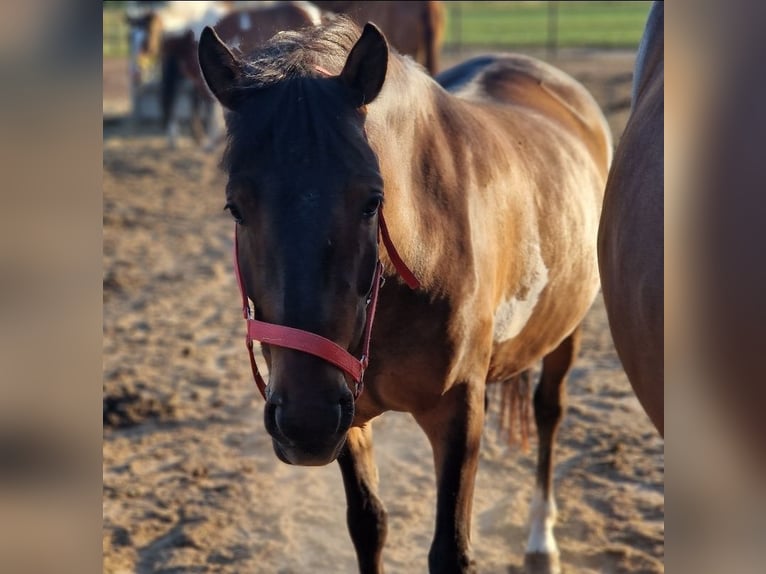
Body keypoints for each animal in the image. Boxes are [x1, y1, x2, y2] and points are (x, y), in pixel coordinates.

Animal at [198, 17, 612, 573]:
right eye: (235, 207)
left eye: (373, 201)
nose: (304, 423)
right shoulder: (348, 416)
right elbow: (368, 525)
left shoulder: (457, 414)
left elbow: (450, 549)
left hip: (567, 328)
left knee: (549, 412)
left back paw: (540, 540)